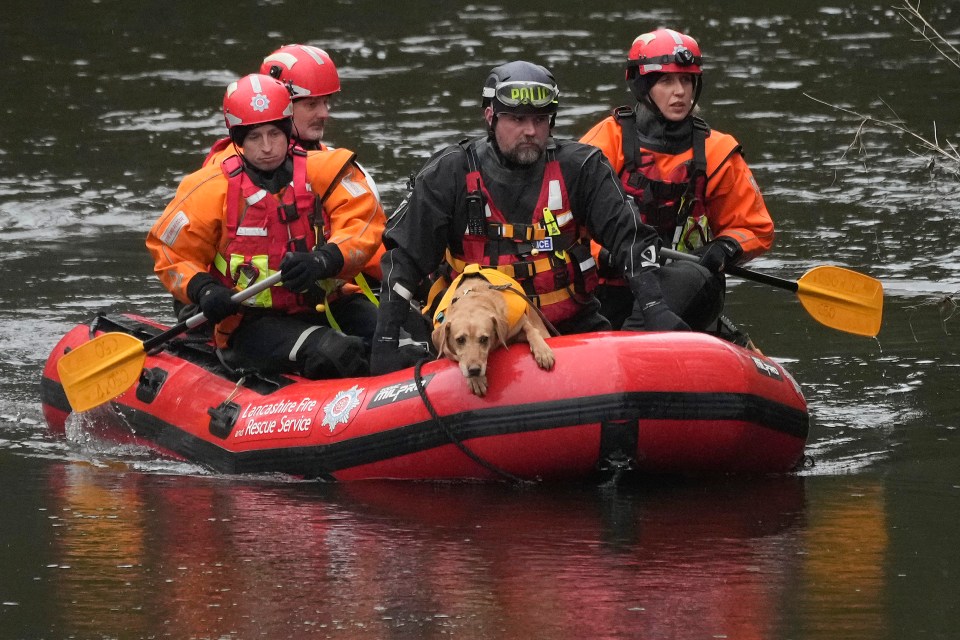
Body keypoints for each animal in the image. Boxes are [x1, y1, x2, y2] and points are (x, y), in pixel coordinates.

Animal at [434, 264, 560, 396]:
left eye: (484, 339)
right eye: (460, 340)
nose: (474, 370)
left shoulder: (518, 327)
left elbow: (531, 330)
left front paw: (543, 351)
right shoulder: (447, 351)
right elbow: (460, 358)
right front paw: (476, 380)